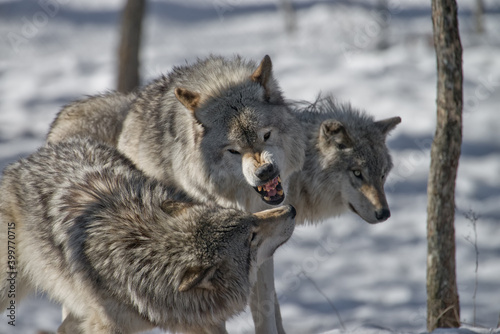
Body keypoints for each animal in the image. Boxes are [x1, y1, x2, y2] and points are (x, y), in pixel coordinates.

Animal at [0, 137, 296, 332]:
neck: (146, 252)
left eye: (248, 218)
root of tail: (30, 158)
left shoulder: (202, 322)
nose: (291, 209)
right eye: (251, 237)